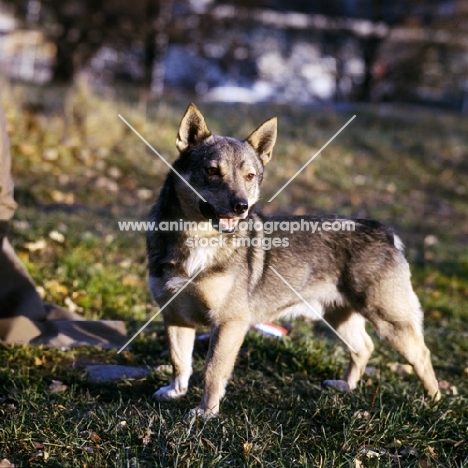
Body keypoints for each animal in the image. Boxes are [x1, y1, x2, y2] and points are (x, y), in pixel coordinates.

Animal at [145, 103, 438, 416]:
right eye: (212, 171)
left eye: (250, 176)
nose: (241, 206)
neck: (197, 238)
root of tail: (384, 231)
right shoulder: (175, 317)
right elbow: (179, 361)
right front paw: (176, 392)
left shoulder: (229, 324)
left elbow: (212, 371)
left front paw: (206, 412)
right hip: (338, 316)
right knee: (363, 348)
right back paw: (346, 386)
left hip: (390, 321)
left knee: (421, 354)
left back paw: (432, 402)